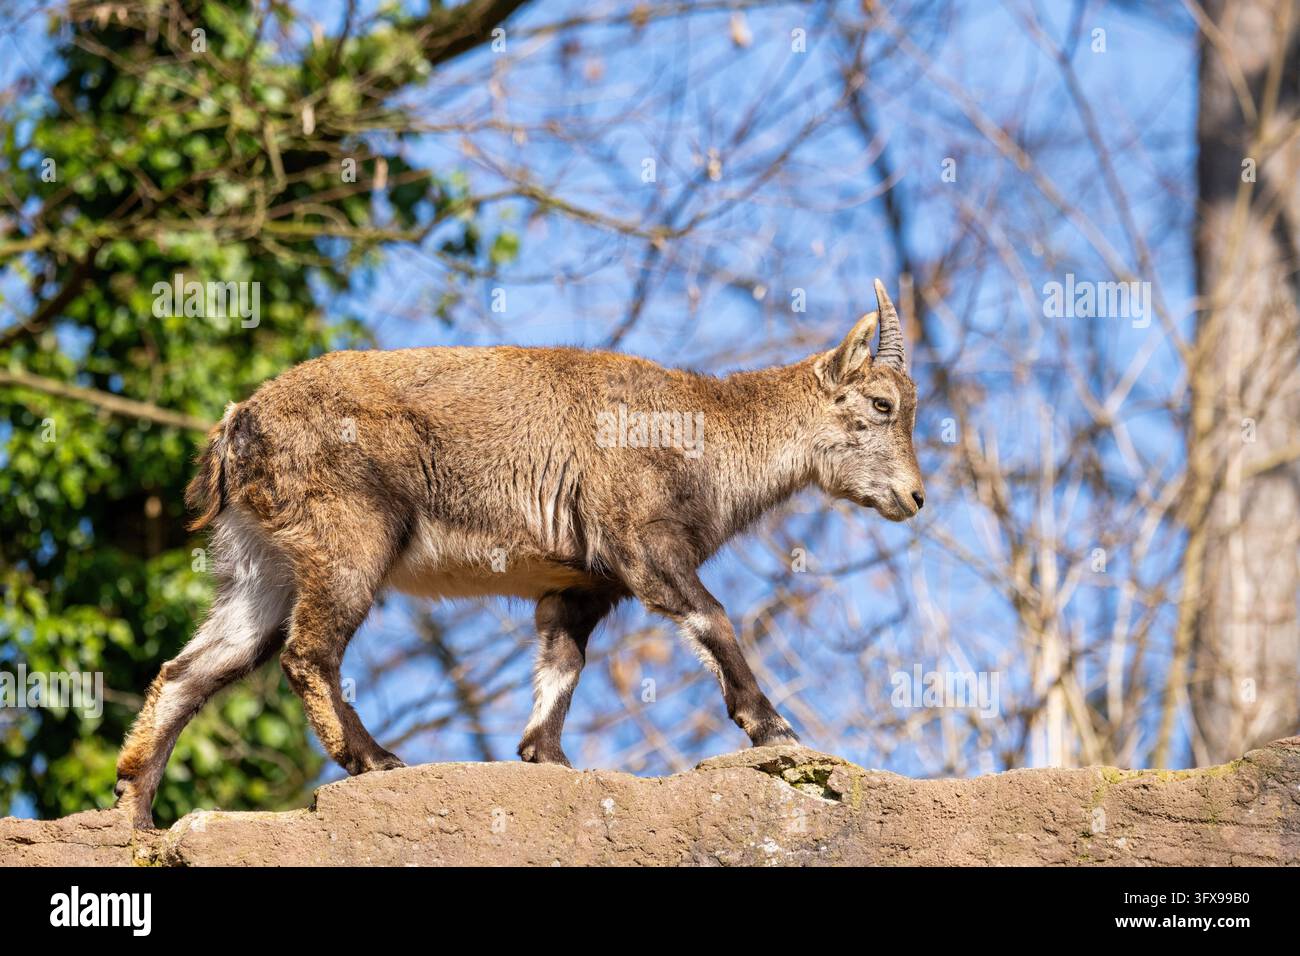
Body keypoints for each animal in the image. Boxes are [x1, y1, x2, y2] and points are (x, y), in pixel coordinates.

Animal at [115, 279, 924, 828]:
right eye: (882, 404)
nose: (915, 497)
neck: (710, 438)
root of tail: (236, 424)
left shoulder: (581, 584)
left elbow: (562, 662)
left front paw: (546, 756)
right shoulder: (641, 545)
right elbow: (714, 618)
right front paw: (774, 728)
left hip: (261, 565)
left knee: (193, 669)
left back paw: (135, 810)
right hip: (347, 538)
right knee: (307, 652)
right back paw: (374, 760)